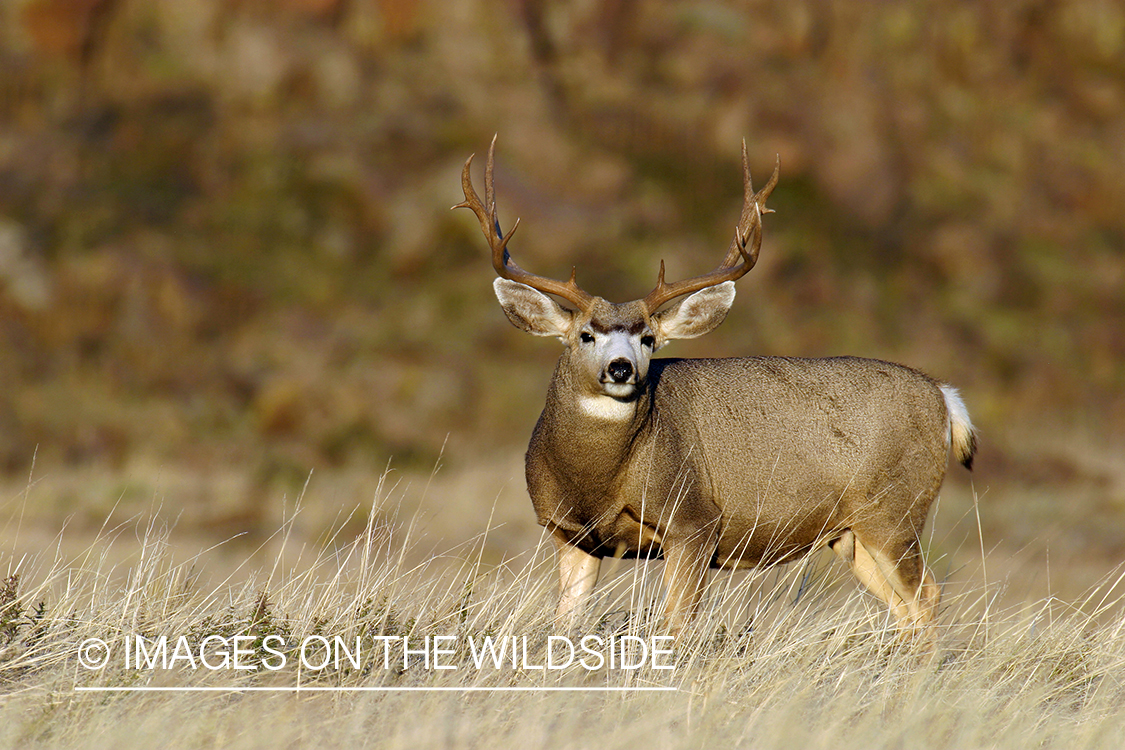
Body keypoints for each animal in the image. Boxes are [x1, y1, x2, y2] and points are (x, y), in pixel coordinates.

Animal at [455, 137, 977, 641]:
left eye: (648, 339)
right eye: (586, 335)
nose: (622, 368)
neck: (596, 482)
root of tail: (944, 398)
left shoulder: (694, 522)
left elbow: (676, 626)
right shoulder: (572, 536)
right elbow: (564, 622)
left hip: (894, 511)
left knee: (926, 596)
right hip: (851, 534)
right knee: (904, 609)